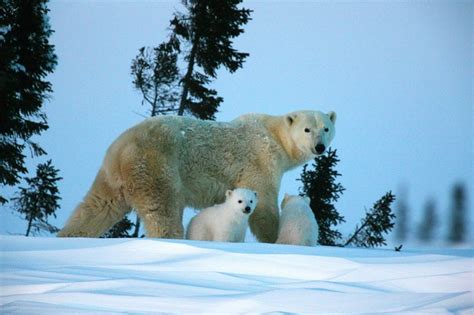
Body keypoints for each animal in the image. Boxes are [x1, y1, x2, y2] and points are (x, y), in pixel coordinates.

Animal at [57, 110, 336, 243]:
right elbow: (264, 205)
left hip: (112, 176)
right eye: (307, 129)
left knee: (98, 206)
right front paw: (274, 239)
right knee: (164, 211)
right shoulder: (261, 160)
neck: (274, 135)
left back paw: (69, 236)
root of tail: (120, 148)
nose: (319, 147)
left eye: (326, 128)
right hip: (156, 166)